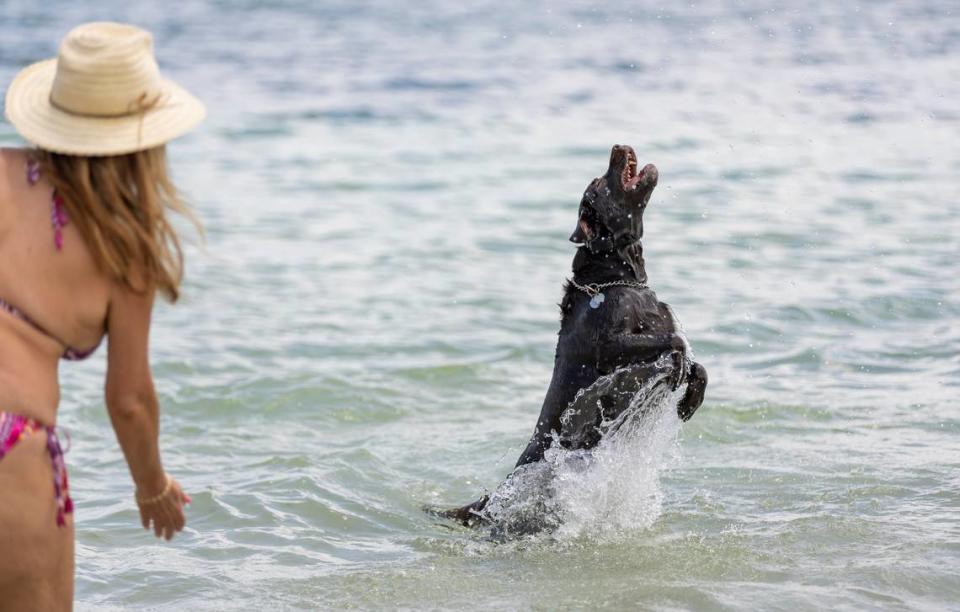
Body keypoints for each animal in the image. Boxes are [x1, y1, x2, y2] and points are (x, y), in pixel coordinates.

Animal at [440, 147, 704, 524]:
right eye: (598, 183)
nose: (618, 146)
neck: (617, 279)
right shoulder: (611, 346)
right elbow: (676, 343)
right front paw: (681, 366)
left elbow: (697, 363)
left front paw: (691, 399)